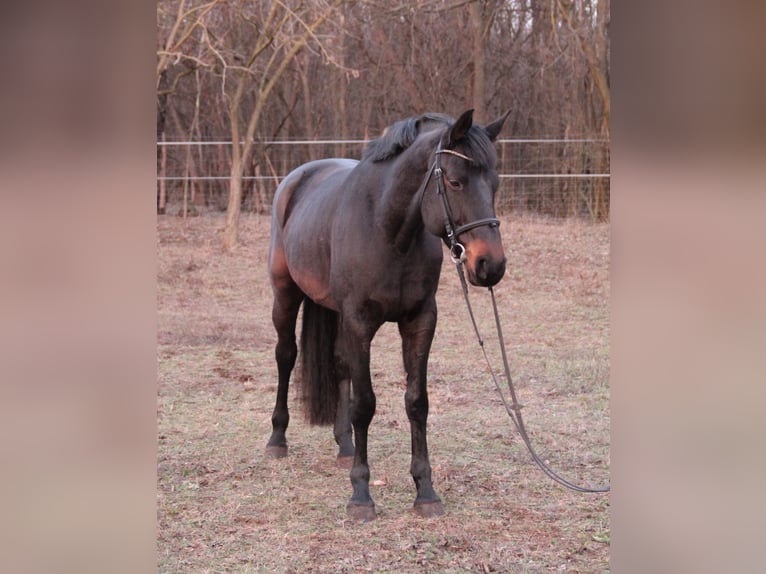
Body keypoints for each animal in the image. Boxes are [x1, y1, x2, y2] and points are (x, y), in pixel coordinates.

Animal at [265, 109, 509, 521]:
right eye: (455, 182)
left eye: (494, 184)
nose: (490, 266)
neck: (387, 231)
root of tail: (297, 178)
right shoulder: (360, 322)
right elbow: (365, 404)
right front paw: (361, 494)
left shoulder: (420, 321)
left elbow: (417, 402)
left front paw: (425, 491)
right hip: (285, 295)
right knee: (286, 355)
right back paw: (277, 440)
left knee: (339, 366)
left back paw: (345, 447)